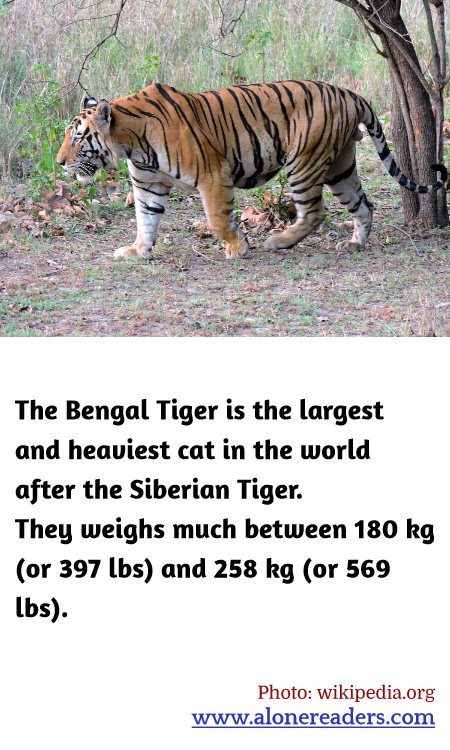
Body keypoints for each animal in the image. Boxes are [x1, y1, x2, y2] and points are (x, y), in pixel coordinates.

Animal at [57, 81, 447, 260]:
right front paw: (137, 250)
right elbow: (145, 220)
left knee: (315, 211)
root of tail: (351, 93)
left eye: (77, 137)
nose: (59, 162)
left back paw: (280, 241)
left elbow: (217, 220)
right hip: (341, 167)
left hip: (303, 162)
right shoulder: (148, 186)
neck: (132, 144)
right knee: (364, 205)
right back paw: (355, 243)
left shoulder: (213, 176)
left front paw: (239, 247)